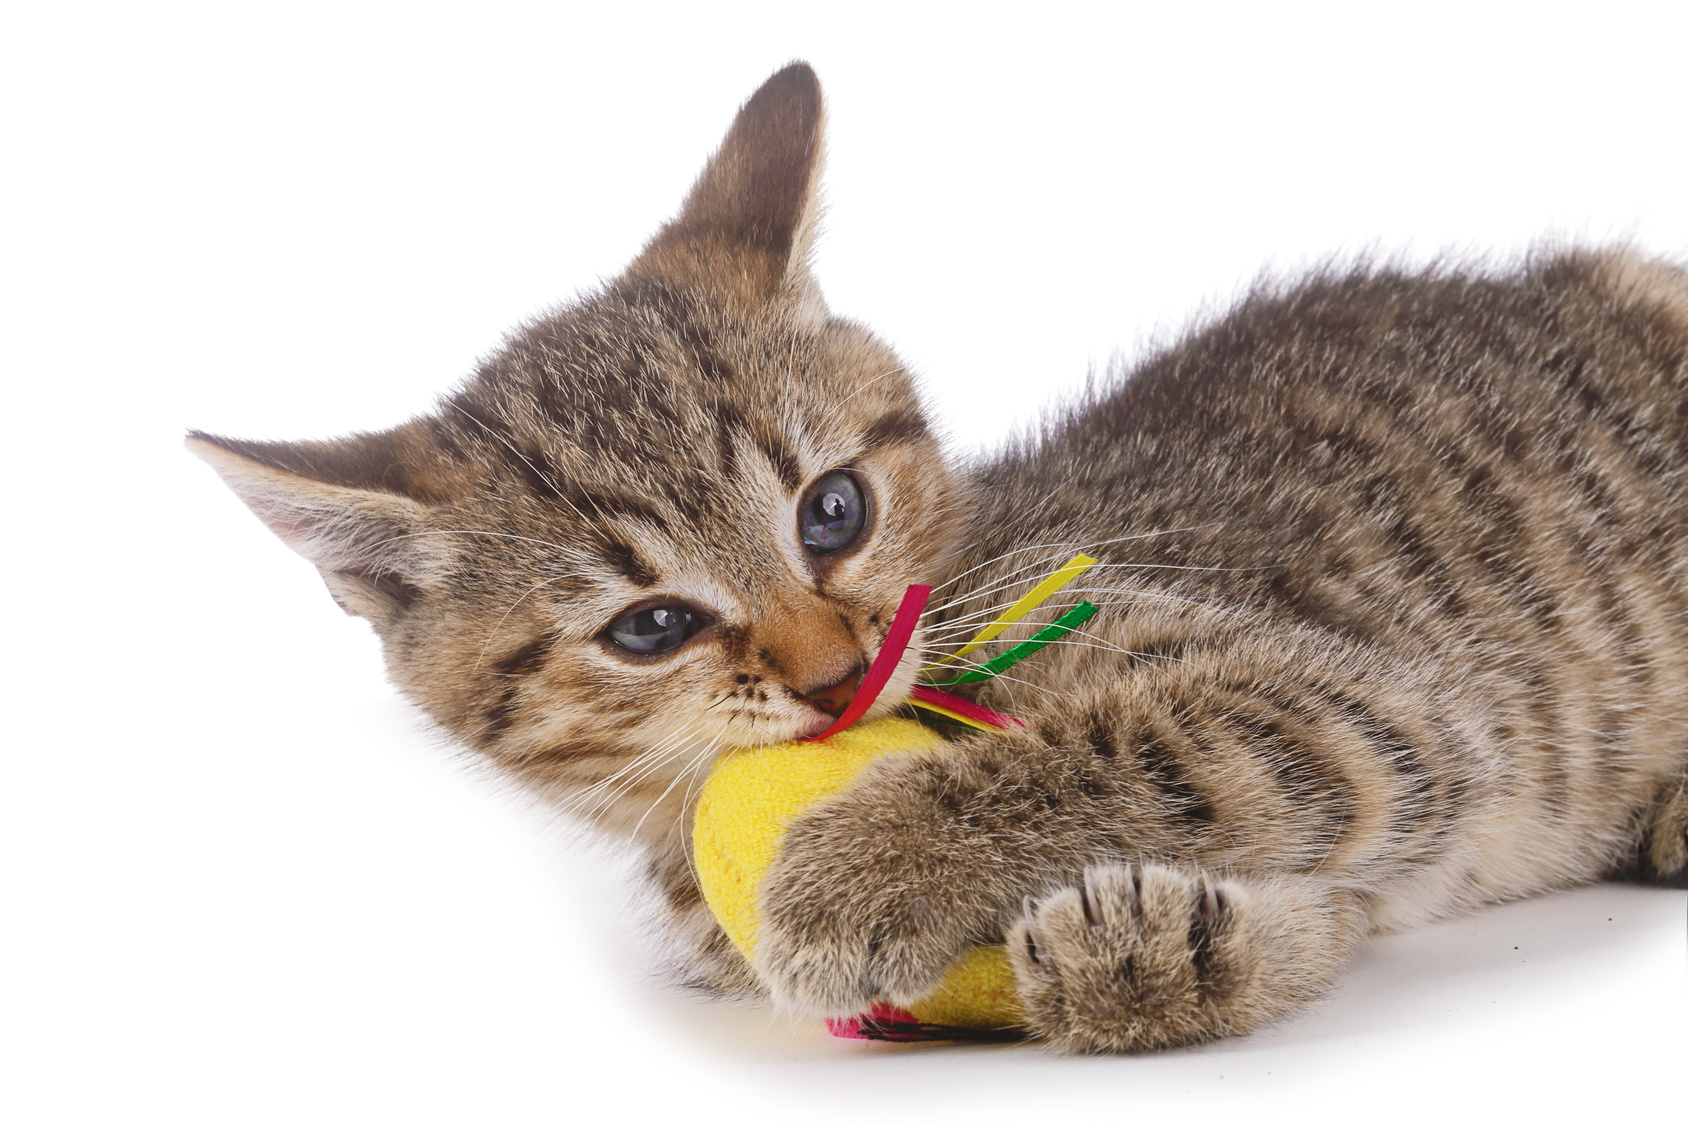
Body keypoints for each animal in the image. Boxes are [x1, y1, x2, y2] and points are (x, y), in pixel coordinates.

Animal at [191, 61, 1688, 1047]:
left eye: (831, 512)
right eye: (649, 628)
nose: (831, 670)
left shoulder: (1363, 703)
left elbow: (1139, 747)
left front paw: (867, 866)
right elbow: (1300, 916)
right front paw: (1153, 950)